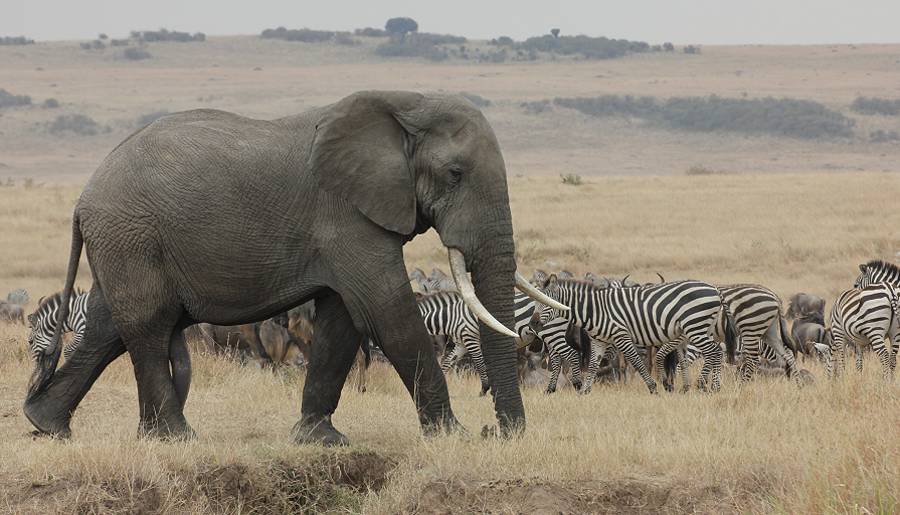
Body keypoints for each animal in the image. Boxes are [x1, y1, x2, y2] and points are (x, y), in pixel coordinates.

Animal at [22, 90, 564, 446]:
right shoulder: (346, 215)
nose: (499, 431)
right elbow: (386, 310)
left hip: (123, 244)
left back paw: (48, 425)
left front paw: (320, 439)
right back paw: (176, 439)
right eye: (455, 174)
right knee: (149, 327)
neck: (406, 103)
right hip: (131, 237)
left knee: (110, 328)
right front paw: (453, 437)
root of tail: (83, 198)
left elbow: (343, 319)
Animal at [536, 276, 728, 394]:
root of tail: (715, 289)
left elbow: (637, 362)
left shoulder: (621, 336)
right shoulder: (599, 341)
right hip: (703, 328)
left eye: (546, 304)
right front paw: (584, 391)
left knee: (714, 352)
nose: (533, 323)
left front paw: (653, 388)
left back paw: (709, 385)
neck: (594, 309)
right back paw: (709, 386)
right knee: (715, 352)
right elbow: (593, 366)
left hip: (695, 326)